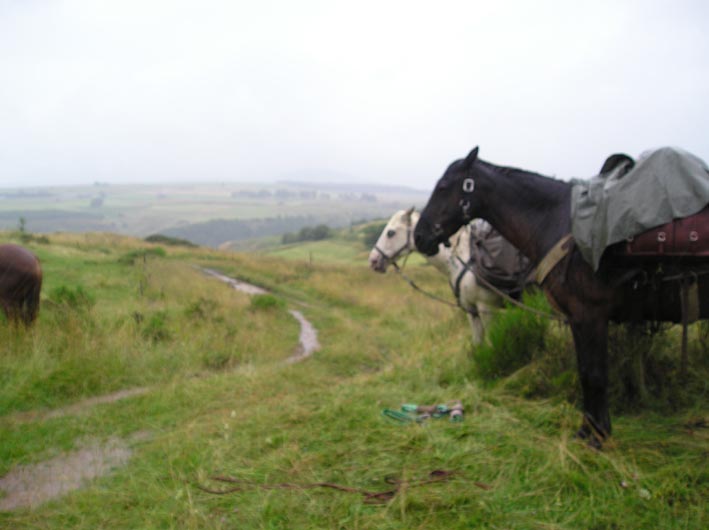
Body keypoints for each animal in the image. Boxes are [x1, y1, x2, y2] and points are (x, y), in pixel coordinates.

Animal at [368, 206, 500, 346]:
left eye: (390, 233)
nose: (373, 260)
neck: (461, 256)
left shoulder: (486, 308)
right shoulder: (471, 310)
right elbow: (478, 343)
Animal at [414, 147, 708, 446]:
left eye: (443, 186)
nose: (419, 236)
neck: (560, 222)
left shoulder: (589, 315)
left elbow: (594, 374)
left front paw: (598, 435)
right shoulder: (576, 319)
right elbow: (585, 372)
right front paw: (588, 431)